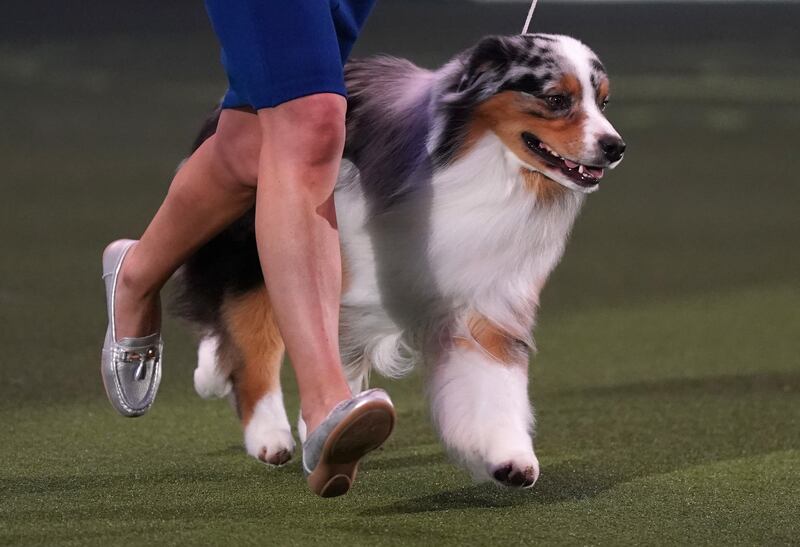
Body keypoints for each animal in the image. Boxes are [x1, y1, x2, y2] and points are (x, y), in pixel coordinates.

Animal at [175, 33, 624, 488]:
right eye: (556, 99)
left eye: (603, 102)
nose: (616, 147)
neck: (488, 168)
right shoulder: (346, 275)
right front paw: (325, 425)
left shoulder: (486, 293)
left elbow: (493, 380)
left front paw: (509, 458)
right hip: (249, 244)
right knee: (249, 330)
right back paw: (268, 436)